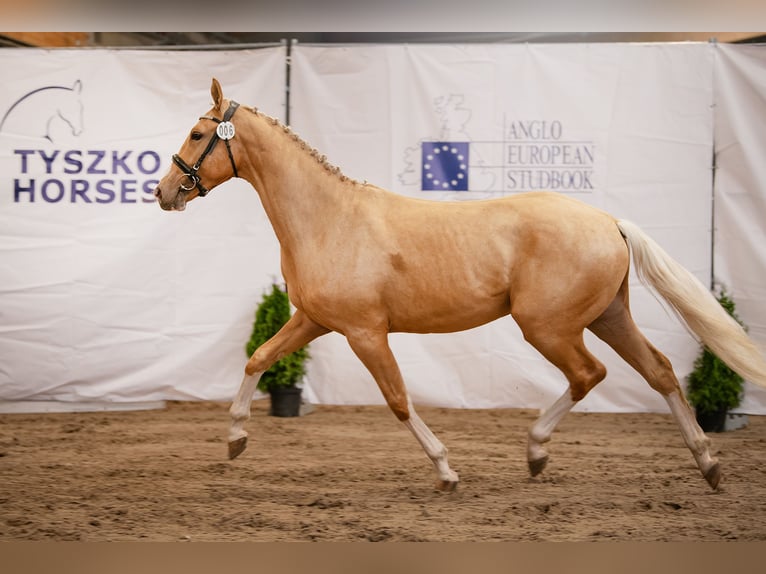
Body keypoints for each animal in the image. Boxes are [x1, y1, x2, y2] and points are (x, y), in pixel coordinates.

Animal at [154, 79, 766, 496]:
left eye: (199, 132)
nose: (164, 192)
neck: (329, 218)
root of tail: (608, 221)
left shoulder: (364, 333)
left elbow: (399, 400)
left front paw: (446, 471)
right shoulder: (314, 320)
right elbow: (258, 359)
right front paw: (235, 439)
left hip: (549, 327)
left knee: (589, 374)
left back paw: (537, 452)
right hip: (606, 315)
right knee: (659, 371)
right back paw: (708, 464)